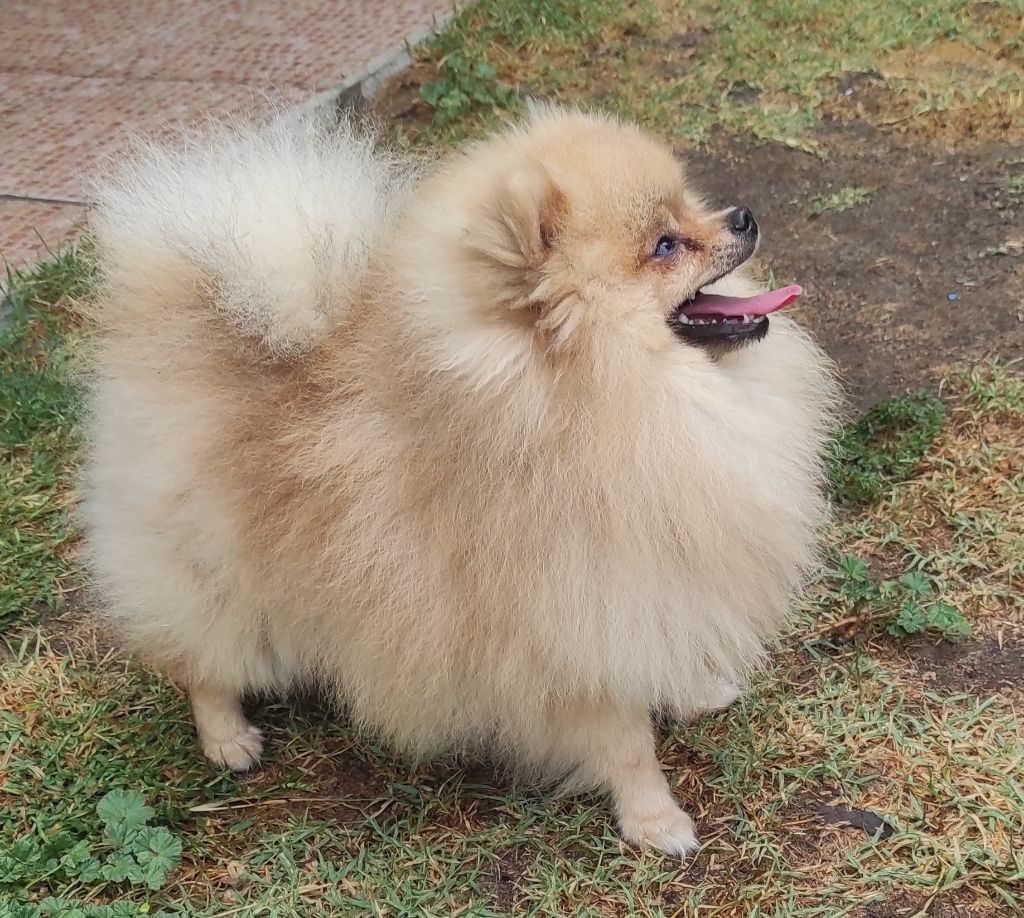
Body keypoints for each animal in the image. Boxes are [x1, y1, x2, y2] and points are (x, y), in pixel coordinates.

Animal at [83, 105, 837, 855]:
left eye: (689, 206)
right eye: (664, 245)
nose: (742, 216)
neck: (599, 402)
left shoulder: (645, 589)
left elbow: (662, 649)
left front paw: (694, 692)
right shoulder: (568, 624)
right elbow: (625, 741)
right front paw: (654, 820)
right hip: (214, 578)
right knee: (203, 663)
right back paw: (228, 737)